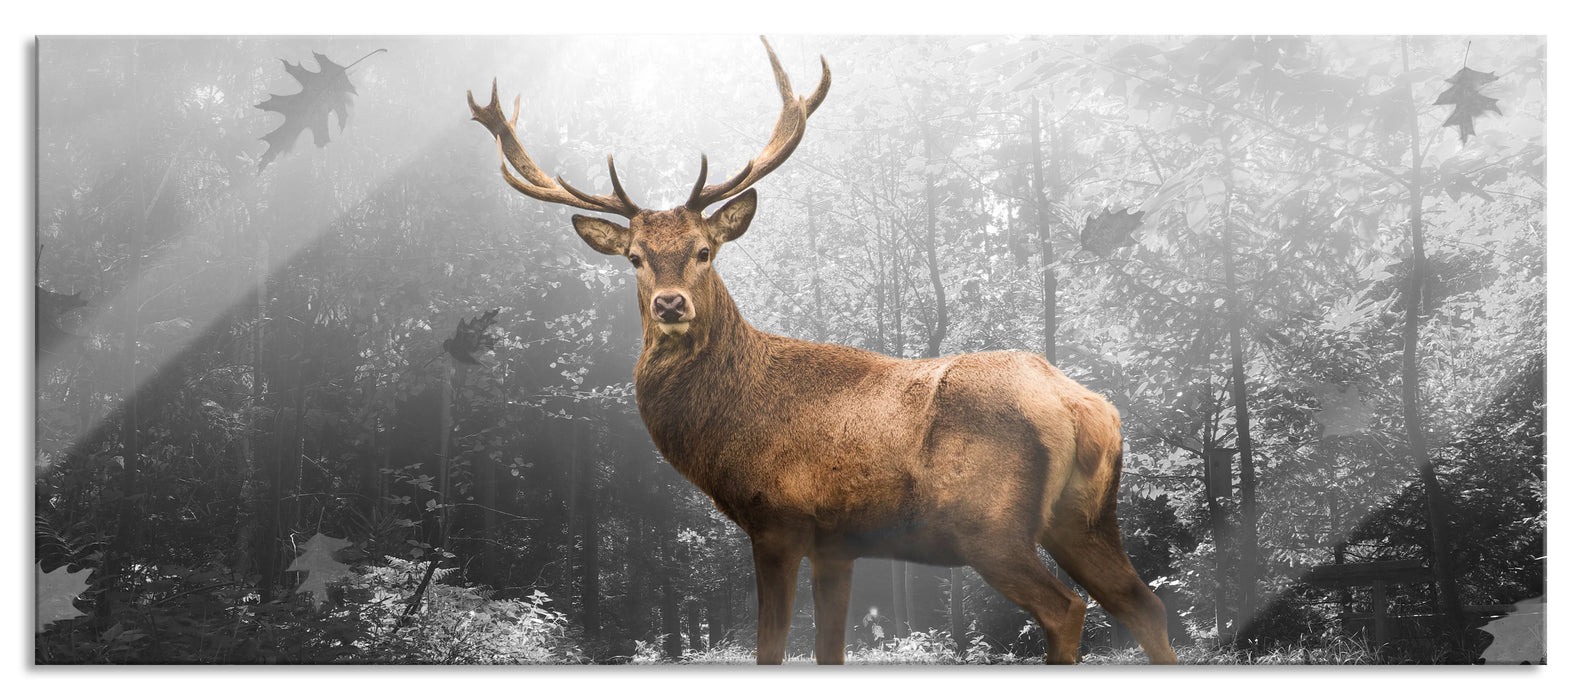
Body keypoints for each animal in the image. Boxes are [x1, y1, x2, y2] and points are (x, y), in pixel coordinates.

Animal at [465, 38, 1177, 668]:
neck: (724, 429)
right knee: (1143, 604)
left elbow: (772, 650)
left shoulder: (777, 519)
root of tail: (1083, 406)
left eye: (704, 250)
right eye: (635, 258)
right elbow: (829, 650)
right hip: (1084, 518)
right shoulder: (839, 544)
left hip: (991, 524)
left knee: (1068, 609)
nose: (670, 304)